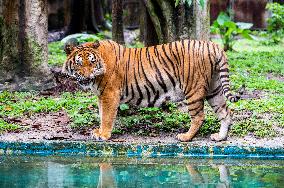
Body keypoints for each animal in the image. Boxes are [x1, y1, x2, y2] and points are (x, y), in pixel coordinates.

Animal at [61, 39, 240, 141]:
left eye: (91, 62)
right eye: (79, 63)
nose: (87, 76)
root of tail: (213, 45)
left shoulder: (109, 94)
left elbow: (106, 117)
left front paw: (103, 135)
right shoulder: (101, 96)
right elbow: (101, 114)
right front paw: (99, 131)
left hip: (193, 89)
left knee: (199, 116)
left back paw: (185, 137)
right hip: (214, 89)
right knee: (225, 112)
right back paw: (220, 137)